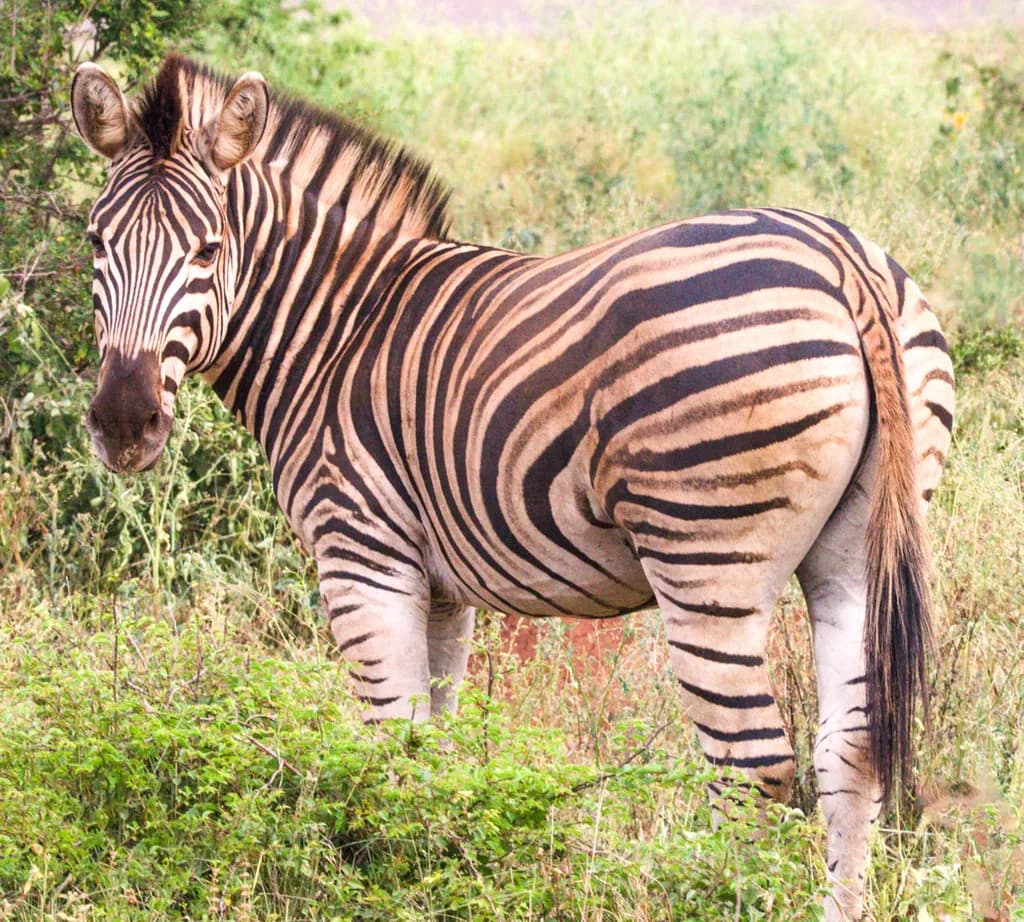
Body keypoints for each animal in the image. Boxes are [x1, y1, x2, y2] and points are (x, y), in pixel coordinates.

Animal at [71, 54, 954, 921]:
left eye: (208, 249)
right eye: (94, 243)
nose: (123, 422)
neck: (334, 333)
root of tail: (841, 260)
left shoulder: (360, 553)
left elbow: (388, 745)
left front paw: (388, 890)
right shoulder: (439, 584)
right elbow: (430, 748)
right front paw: (431, 878)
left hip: (704, 553)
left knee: (750, 769)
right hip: (855, 552)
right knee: (851, 755)